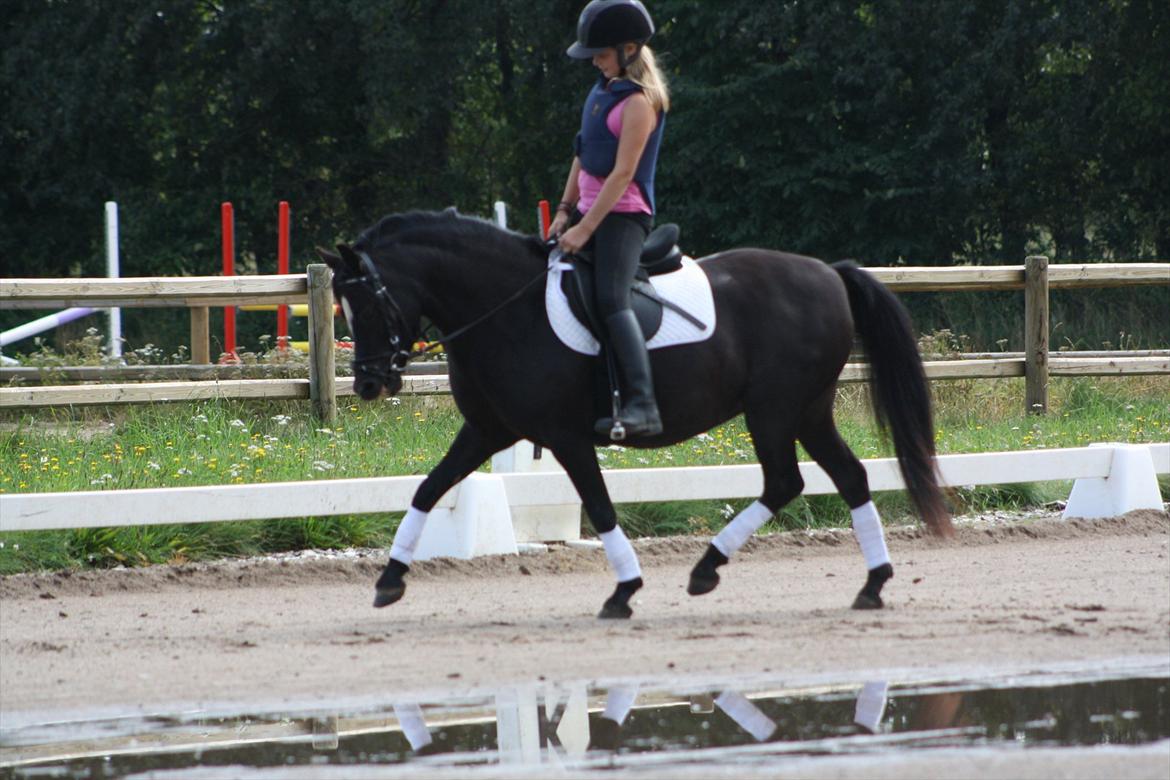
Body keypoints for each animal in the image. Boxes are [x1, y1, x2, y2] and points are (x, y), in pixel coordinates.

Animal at [316, 208, 952, 619]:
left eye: (366, 302)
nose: (369, 382)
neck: (504, 308)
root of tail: (827, 273)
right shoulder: (487, 430)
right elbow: (428, 488)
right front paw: (389, 579)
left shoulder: (566, 436)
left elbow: (599, 507)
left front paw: (624, 591)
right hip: (808, 410)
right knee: (848, 477)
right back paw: (872, 584)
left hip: (774, 409)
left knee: (784, 482)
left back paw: (707, 569)